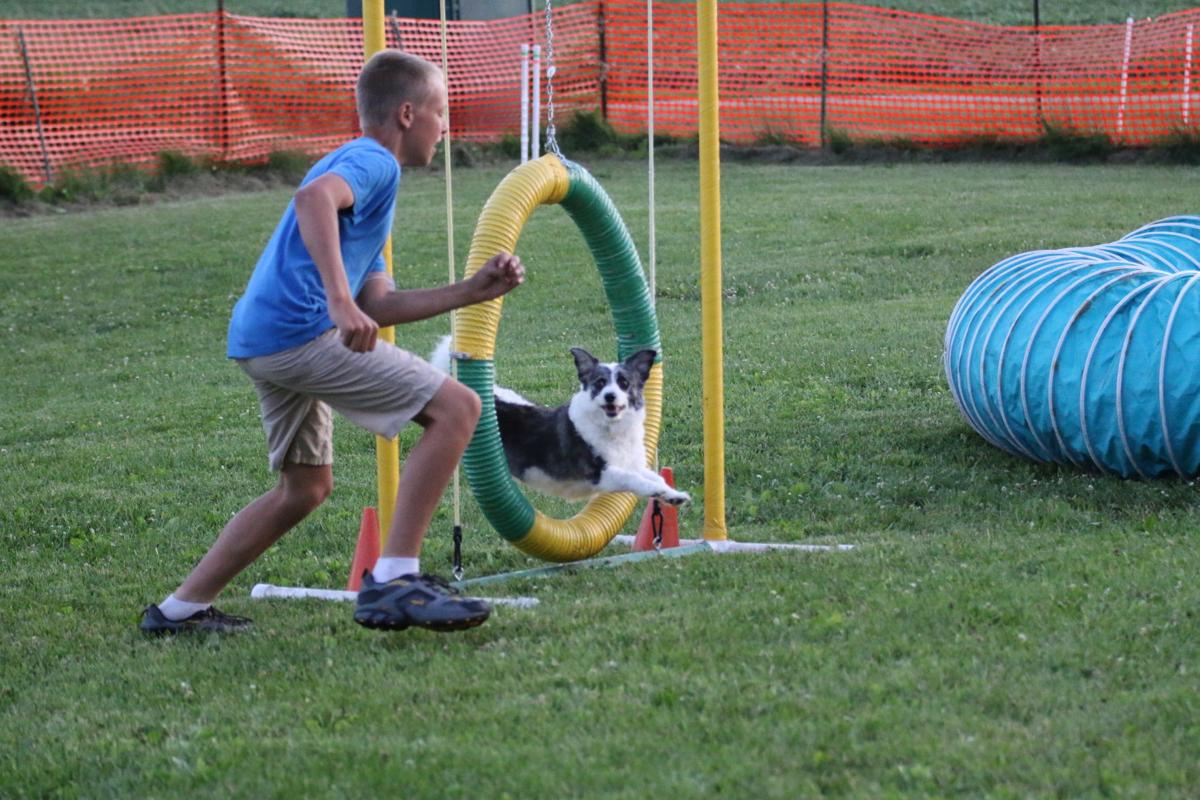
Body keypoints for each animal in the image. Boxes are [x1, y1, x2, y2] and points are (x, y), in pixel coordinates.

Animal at [436, 338, 691, 506]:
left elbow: (654, 476)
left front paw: (672, 494)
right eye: (599, 383)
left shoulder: (632, 464)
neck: (611, 429)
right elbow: (634, 478)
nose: (610, 396)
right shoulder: (599, 473)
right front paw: (659, 491)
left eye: (624, 383)